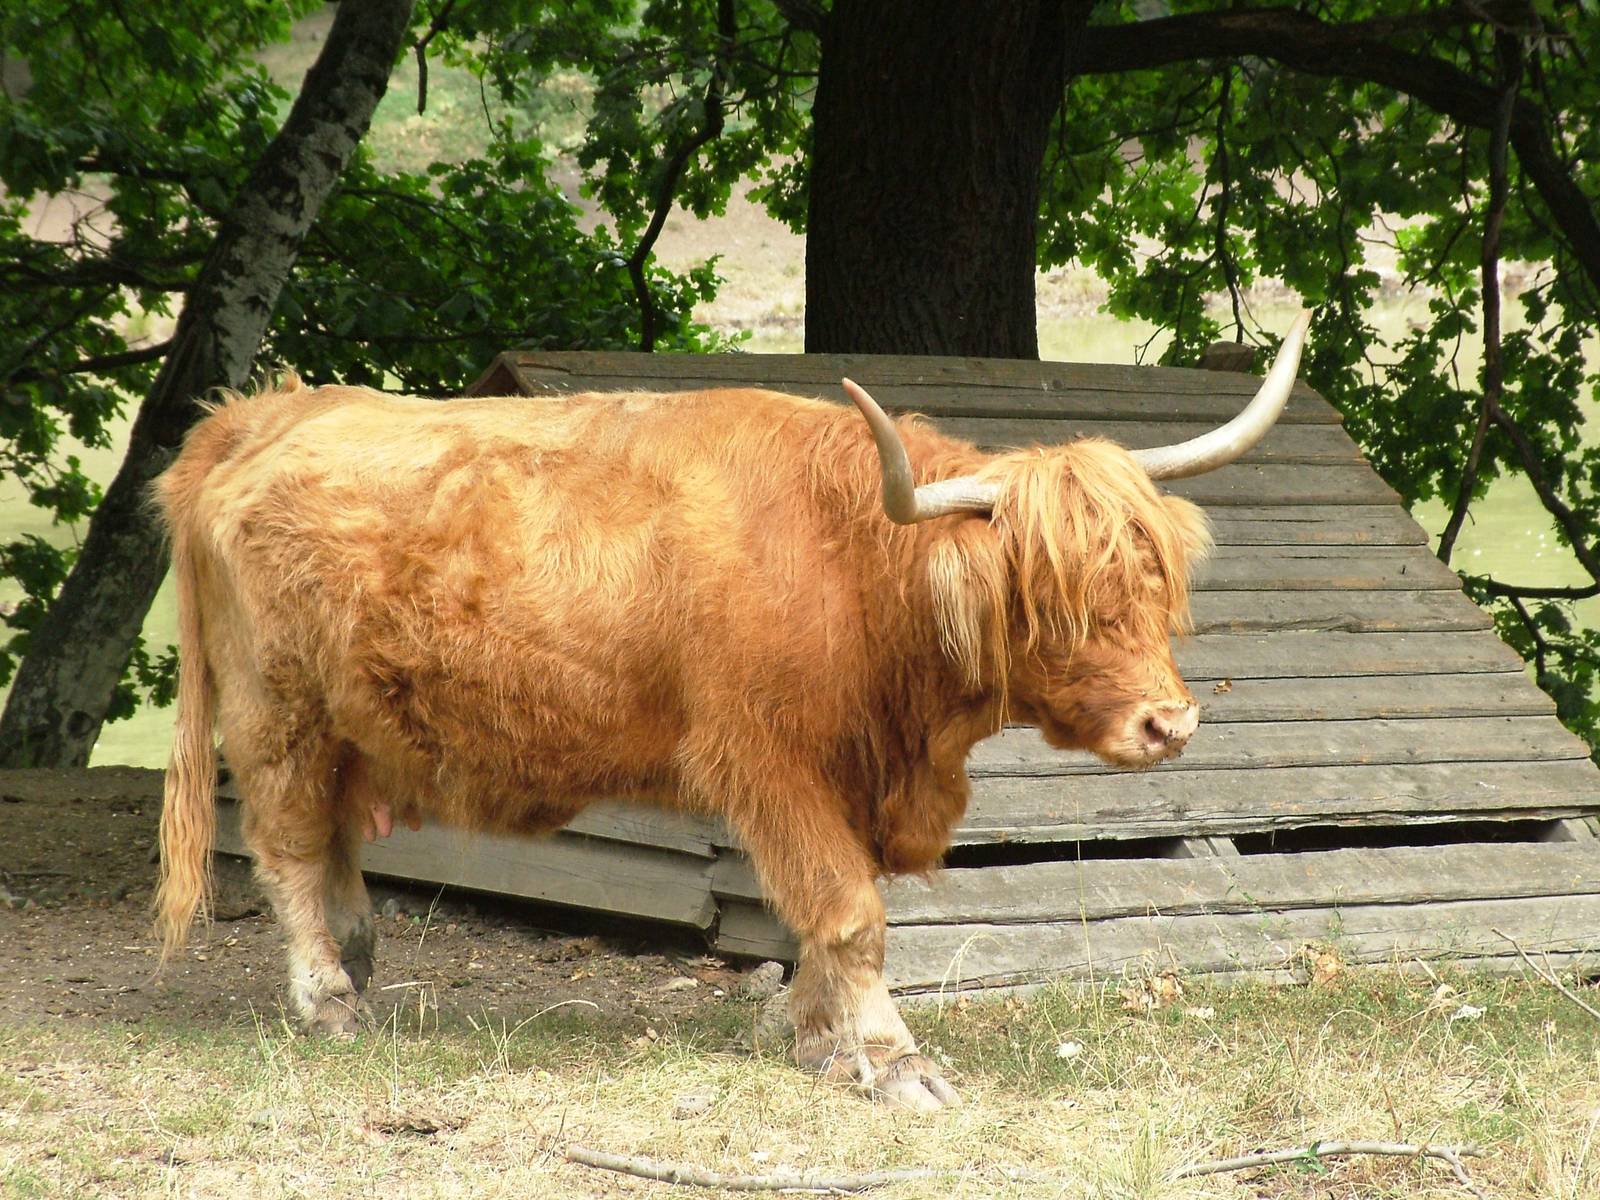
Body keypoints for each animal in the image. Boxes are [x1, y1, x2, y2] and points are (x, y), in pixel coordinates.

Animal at [154, 314, 1310, 1111]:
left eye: (1156, 586)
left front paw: (807, 1035)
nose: (1170, 725)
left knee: (337, 846)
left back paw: (359, 959)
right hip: (276, 713)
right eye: (1058, 601)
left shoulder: (844, 776)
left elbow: (819, 916)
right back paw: (328, 1000)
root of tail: (260, 413)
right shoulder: (769, 759)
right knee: (288, 846)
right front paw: (888, 1060)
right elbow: (848, 911)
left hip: (351, 726)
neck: (851, 563)